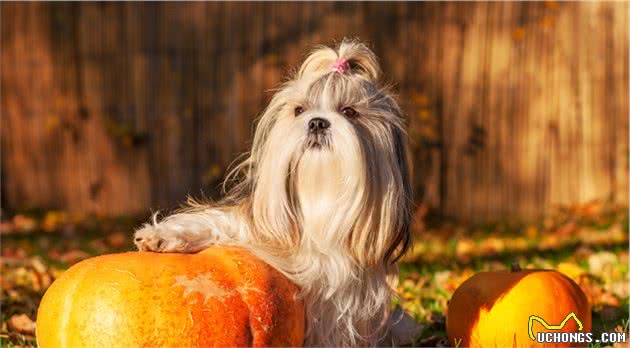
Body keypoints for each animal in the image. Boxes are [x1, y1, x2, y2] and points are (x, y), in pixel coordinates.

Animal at [135, 39, 414, 346]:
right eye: (300, 110)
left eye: (349, 112)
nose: (317, 122)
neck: (319, 202)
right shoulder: (250, 225)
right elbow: (214, 224)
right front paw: (161, 236)